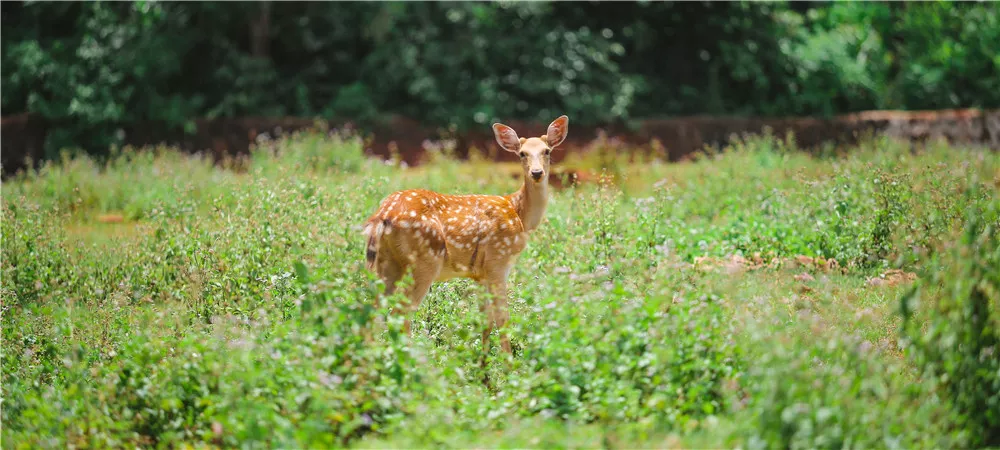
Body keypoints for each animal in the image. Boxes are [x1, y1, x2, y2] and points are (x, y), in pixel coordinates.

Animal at [360, 115, 568, 358]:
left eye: (547, 151)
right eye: (522, 153)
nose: (536, 173)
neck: (519, 214)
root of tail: (383, 215)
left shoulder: (479, 274)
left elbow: (485, 321)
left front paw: (484, 364)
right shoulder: (498, 262)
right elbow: (503, 319)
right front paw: (508, 364)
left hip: (386, 262)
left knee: (373, 313)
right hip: (424, 261)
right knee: (400, 313)